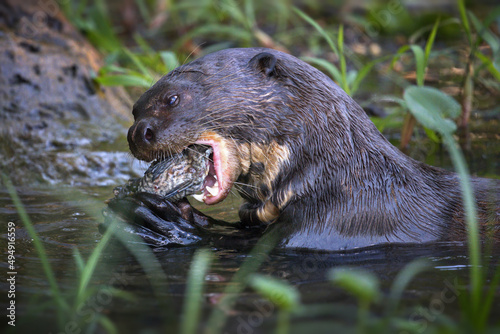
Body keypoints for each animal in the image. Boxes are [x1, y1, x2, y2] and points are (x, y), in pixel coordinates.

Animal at [103, 47, 498, 250]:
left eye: (172, 98)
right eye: (135, 108)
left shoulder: (338, 226)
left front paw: (157, 219)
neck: (345, 178)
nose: (137, 132)